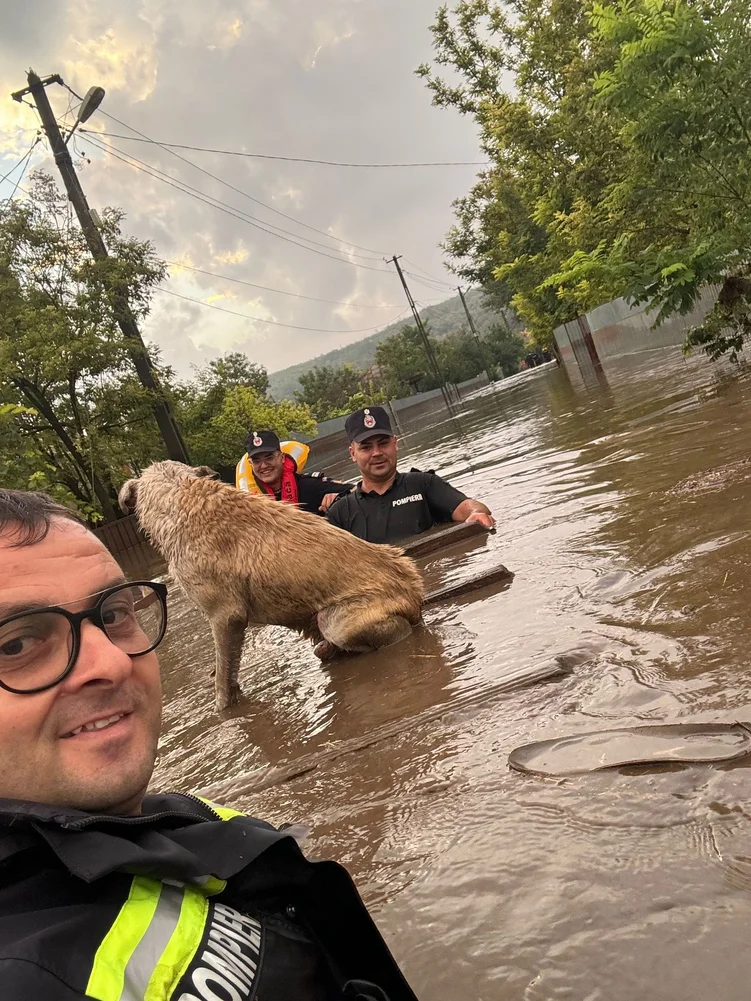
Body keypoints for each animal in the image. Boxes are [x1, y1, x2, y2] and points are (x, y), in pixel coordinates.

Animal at [117, 460, 424, 712]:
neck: (179, 495)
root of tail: (415, 590)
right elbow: (224, 669)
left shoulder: (225, 616)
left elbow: (223, 679)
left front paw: (223, 709)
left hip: (336, 620)